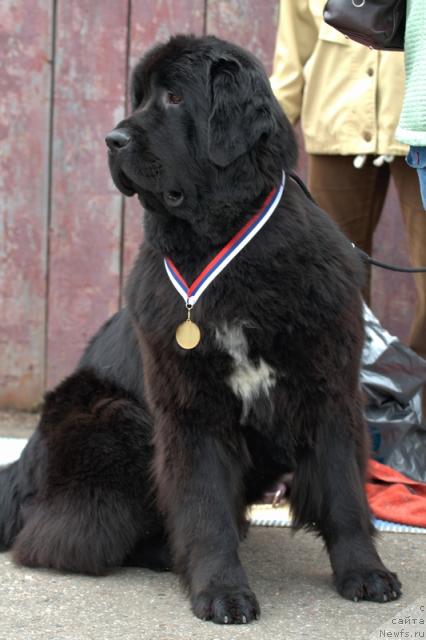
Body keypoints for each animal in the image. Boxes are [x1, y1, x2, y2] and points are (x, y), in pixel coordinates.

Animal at [0, 36, 400, 624]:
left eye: (172, 98)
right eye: (139, 97)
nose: (112, 139)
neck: (222, 249)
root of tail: (21, 467)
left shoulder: (327, 392)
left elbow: (344, 493)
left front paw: (365, 573)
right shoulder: (191, 409)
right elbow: (204, 507)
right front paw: (222, 592)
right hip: (117, 418)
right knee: (59, 538)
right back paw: (164, 553)